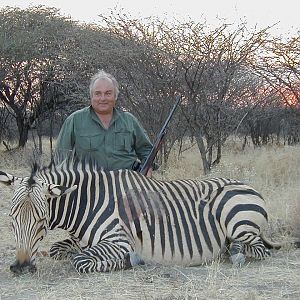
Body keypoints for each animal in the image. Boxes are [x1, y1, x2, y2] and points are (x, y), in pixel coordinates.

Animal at [0, 159, 282, 274]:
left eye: (41, 220)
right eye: (12, 219)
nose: (20, 267)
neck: (89, 203)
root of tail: (247, 186)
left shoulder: (119, 241)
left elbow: (80, 260)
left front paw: (130, 261)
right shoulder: (79, 241)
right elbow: (60, 249)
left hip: (237, 221)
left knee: (258, 249)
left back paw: (234, 253)